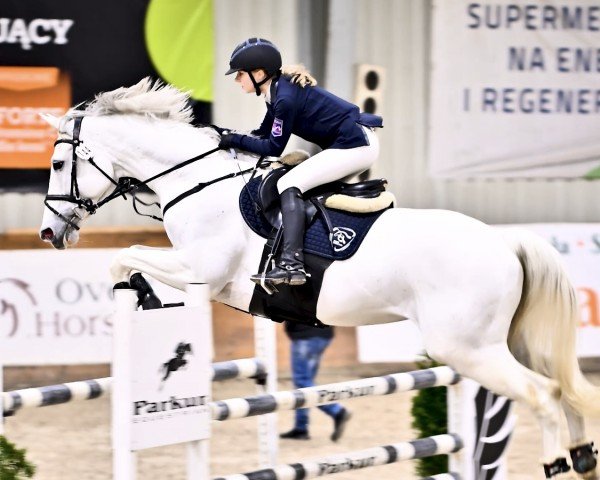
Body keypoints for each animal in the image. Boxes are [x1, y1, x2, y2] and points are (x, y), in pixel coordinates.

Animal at [39, 78, 596, 476]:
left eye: (60, 162)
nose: (48, 232)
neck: (195, 182)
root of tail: (506, 242)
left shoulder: (201, 272)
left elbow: (123, 257)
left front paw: (144, 297)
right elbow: (127, 258)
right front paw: (145, 297)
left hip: (468, 348)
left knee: (544, 392)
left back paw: (555, 460)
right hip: (509, 340)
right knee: (562, 384)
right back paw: (582, 454)